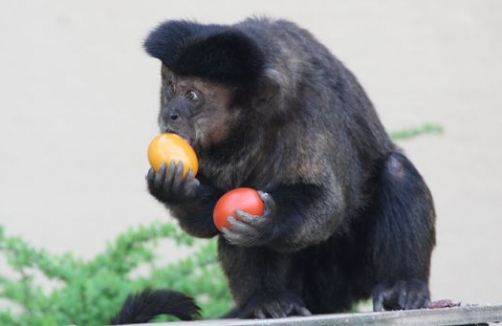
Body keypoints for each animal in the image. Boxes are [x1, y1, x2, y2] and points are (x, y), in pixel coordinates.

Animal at [111, 16, 436, 322]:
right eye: (170, 88)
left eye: (192, 95)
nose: (170, 113)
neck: (256, 121)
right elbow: (207, 221)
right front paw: (177, 192)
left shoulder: (311, 105)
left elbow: (327, 201)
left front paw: (271, 219)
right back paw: (266, 300)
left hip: (350, 270)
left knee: (396, 170)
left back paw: (401, 285)